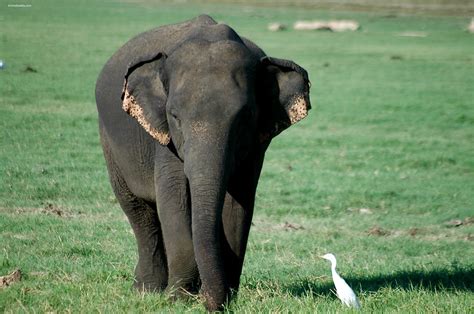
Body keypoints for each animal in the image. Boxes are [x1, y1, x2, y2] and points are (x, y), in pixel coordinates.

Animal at [96, 13, 312, 310]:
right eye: (174, 116)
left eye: (245, 117)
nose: (208, 302)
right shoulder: (165, 140)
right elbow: (174, 200)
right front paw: (178, 299)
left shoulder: (256, 146)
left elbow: (237, 206)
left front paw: (226, 299)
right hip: (109, 145)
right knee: (138, 211)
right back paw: (147, 291)